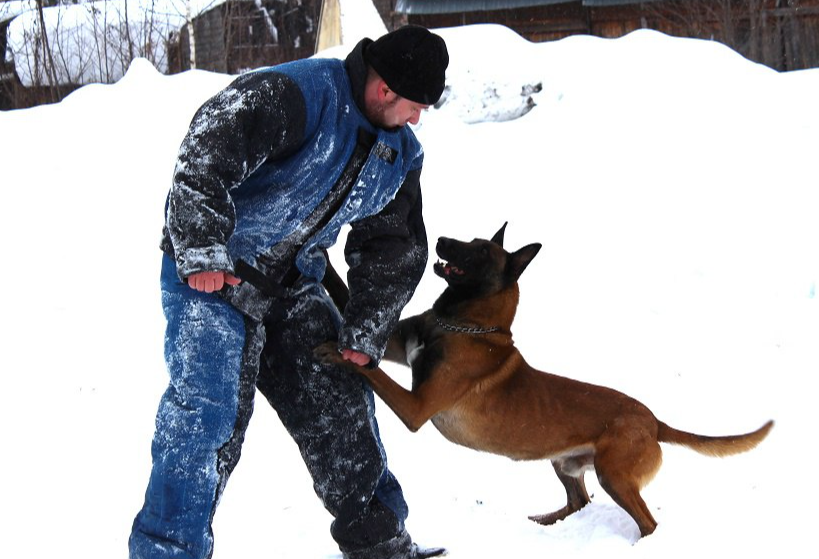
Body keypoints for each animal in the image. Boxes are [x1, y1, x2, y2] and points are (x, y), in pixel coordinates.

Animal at [316, 225, 776, 540]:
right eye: (470, 239)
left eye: (481, 250)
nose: (442, 239)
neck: (467, 326)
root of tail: (654, 421)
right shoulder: (397, 344)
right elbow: (346, 296)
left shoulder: (416, 407)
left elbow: (371, 369)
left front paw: (332, 352)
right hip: (566, 464)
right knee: (580, 499)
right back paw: (544, 521)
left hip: (614, 473)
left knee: (646, 520)